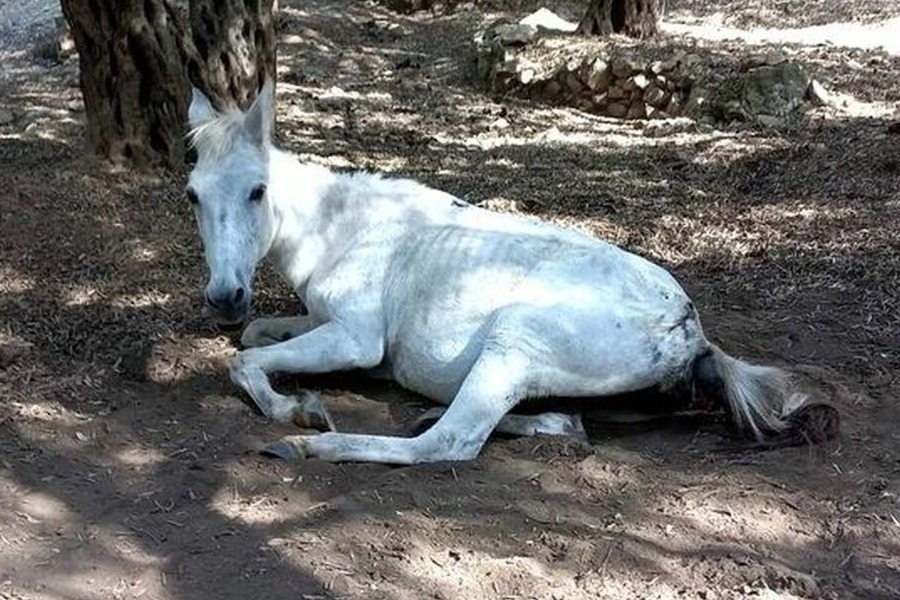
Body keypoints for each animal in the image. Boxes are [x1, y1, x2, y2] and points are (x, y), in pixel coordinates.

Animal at [186, 81, 832, 464]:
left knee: (448, 442)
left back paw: (307, 443)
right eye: (193, 194)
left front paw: (297, 409)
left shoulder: (356, 340)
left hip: (510, 341)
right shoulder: (320, 322)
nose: (225, 295)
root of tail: (692, 335)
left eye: (257, 190)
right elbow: (254, 337)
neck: (343, 229)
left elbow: (243, 360)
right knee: (565, 425)